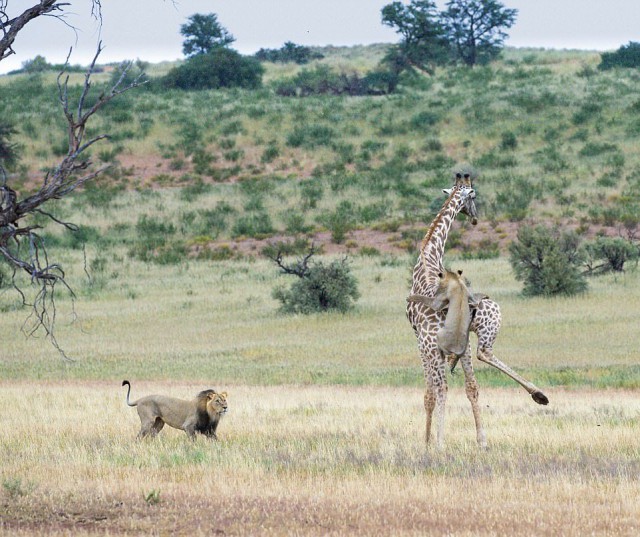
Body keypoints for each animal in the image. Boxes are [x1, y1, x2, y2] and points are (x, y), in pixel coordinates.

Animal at [408, 174, 548, 446]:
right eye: (472, 197)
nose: (474, 217)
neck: (429, 255)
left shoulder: (421, 342)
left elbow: (429, 394)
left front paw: (428, 441)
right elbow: (463, 387)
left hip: (463, 330)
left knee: (453, 379)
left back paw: (441, 442)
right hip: (466, 335)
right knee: (473, 377)